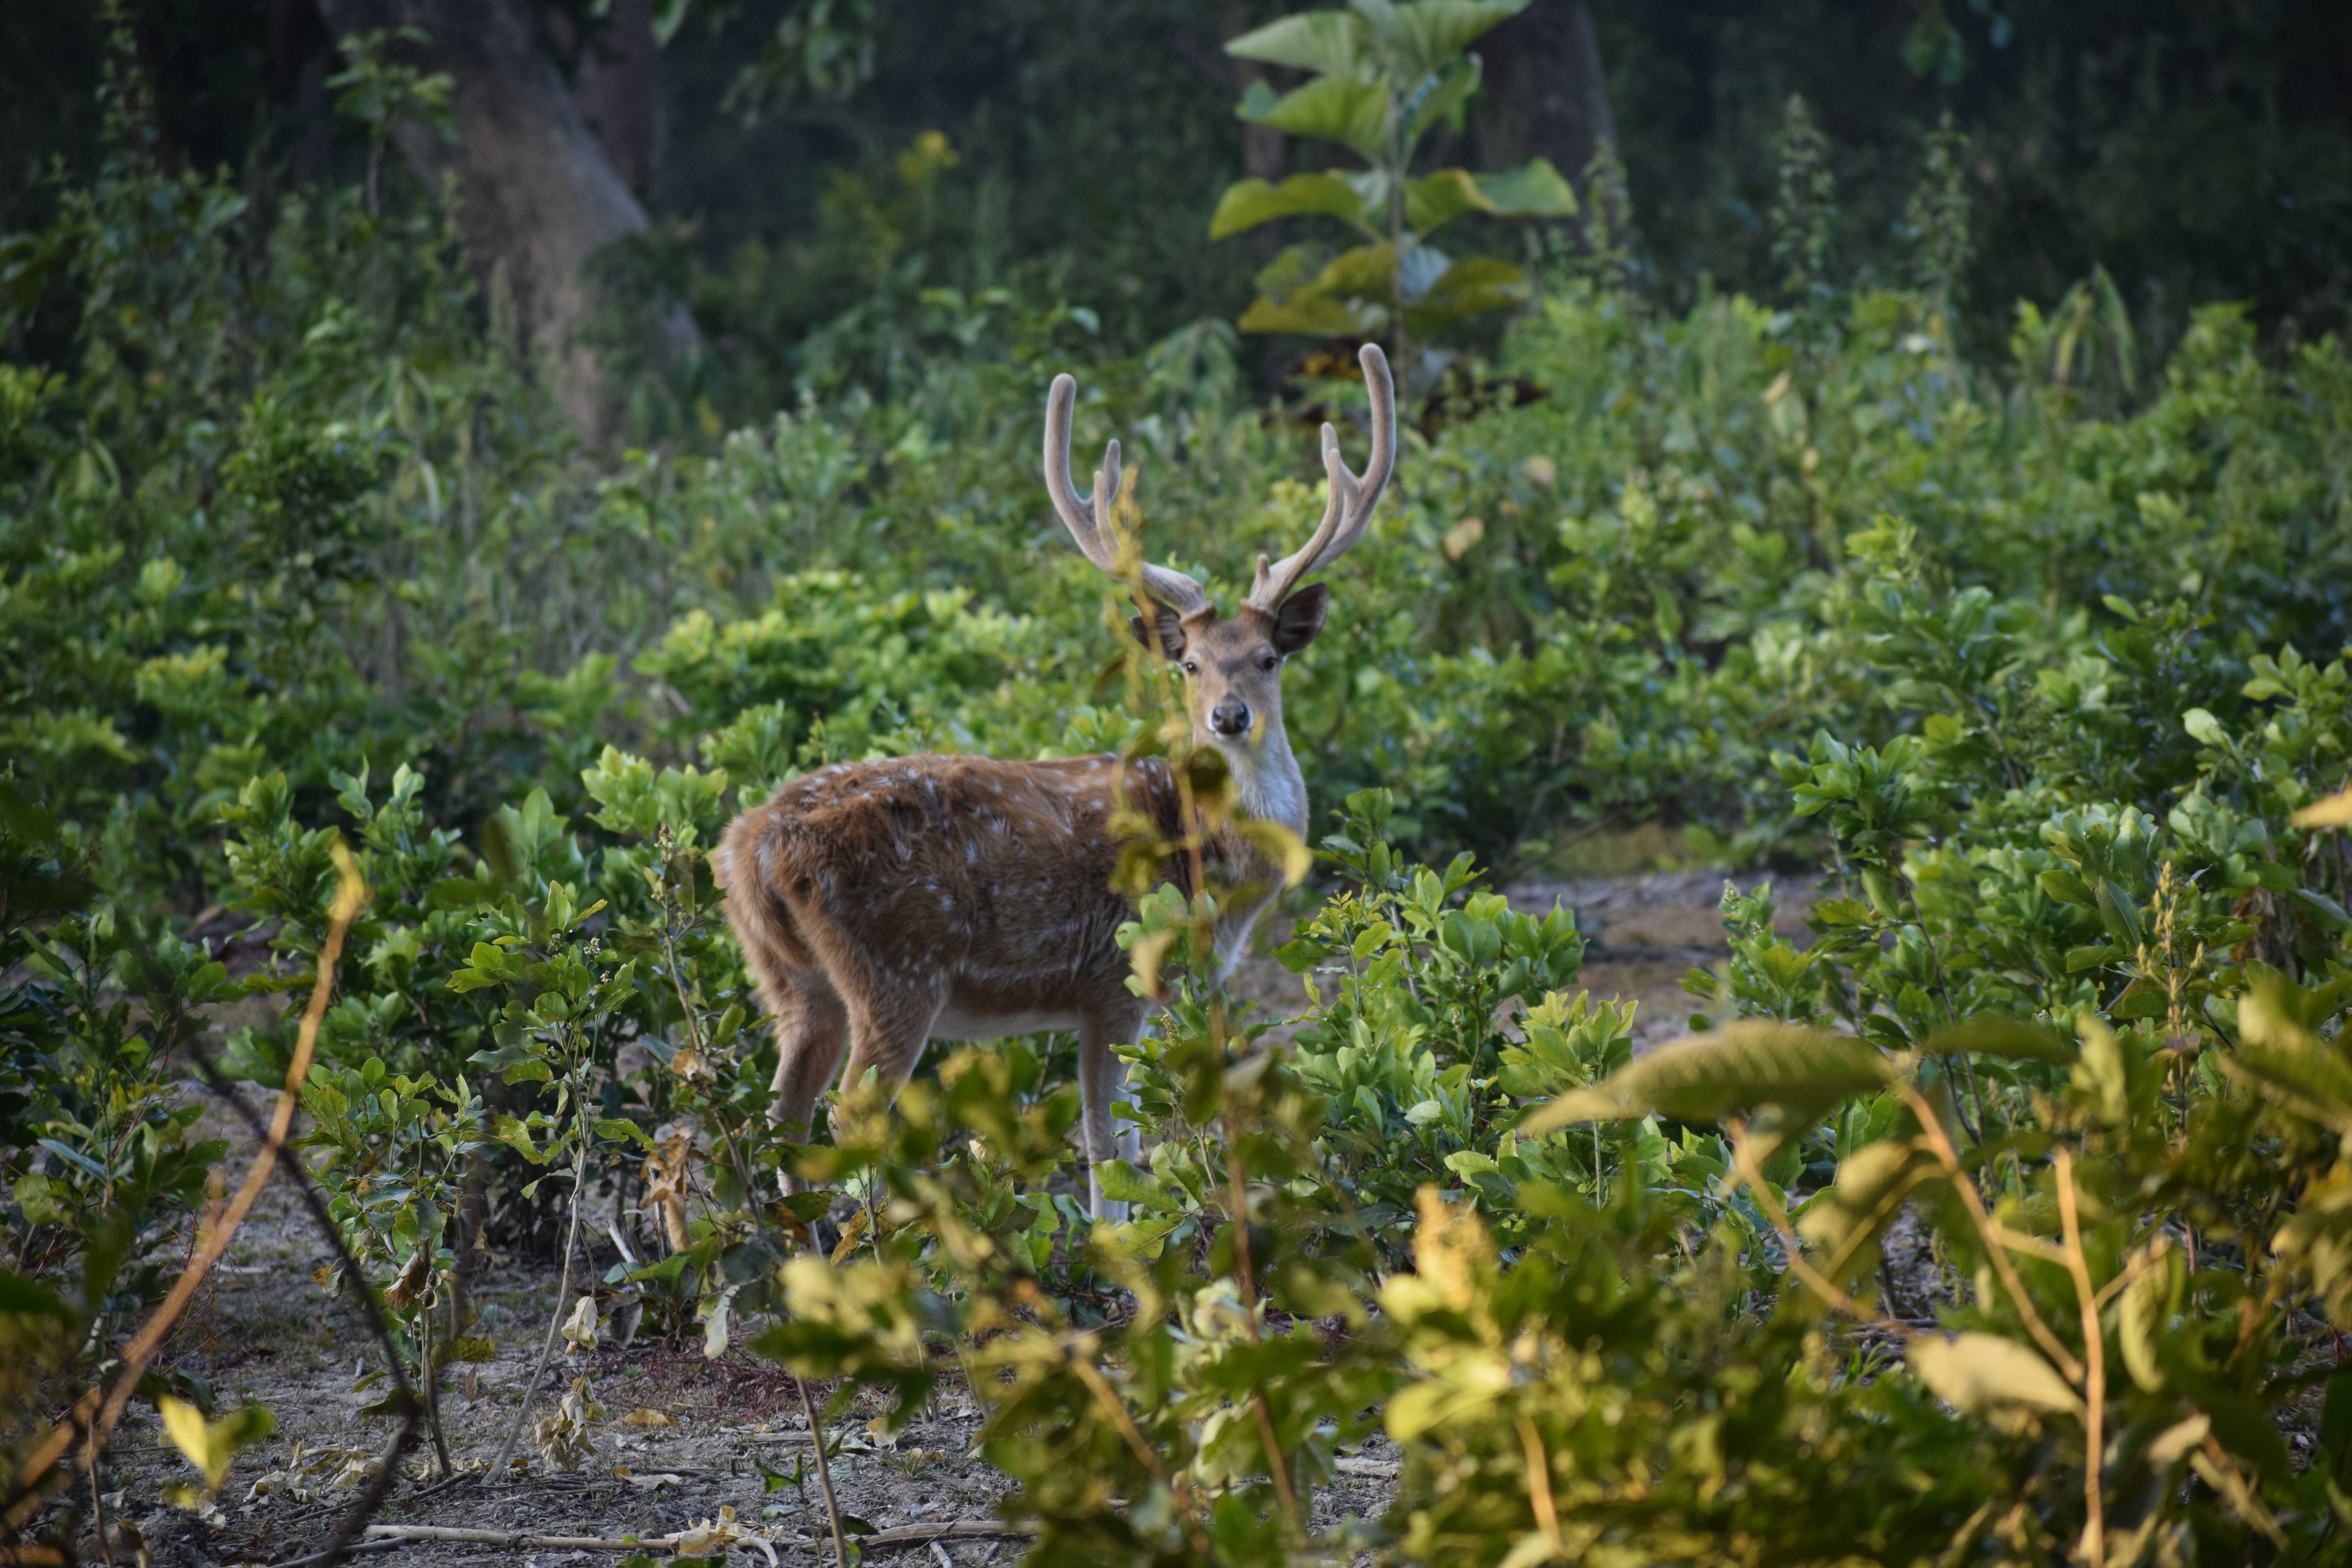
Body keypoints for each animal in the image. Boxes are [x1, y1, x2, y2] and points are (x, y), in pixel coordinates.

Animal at [710, 343, 1396, 1221]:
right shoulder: (1116, 979)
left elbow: (1129, 1142)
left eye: (1269, 657)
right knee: (844, 1119)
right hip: (897, 968)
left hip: (789, 982)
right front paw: (1116, 1247)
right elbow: (1109, 1148)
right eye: (1189, 664)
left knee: (779, 1122)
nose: (1229, 716)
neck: (1216, 872)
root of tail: (751, 849)